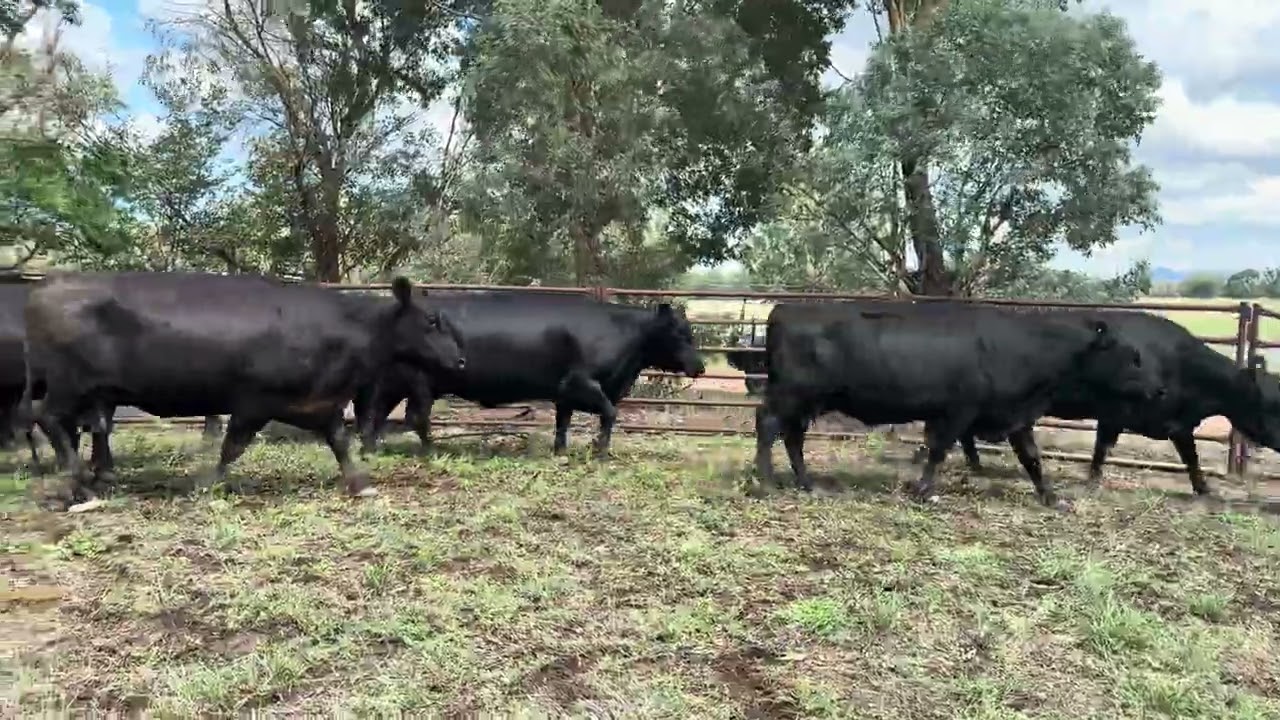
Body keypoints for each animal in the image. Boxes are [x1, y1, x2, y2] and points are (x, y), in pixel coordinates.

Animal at [19, 271, 464, 511]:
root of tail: (48, 285)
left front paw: (359, 482)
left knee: (88, 426)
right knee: (48, 417)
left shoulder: (319, 403)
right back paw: (78, 478)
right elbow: (232, 446)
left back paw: (93, 478)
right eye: (431, 320)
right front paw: (207, 484)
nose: (460, 361)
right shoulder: (255, 400)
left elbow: (340, 441)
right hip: (68, 384)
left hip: (92, 391)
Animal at [351, 291, 707, 458]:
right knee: (414, 417)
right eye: (679, 333)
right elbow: (610, 413)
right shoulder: (583, 383)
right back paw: (429, 449)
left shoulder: (565, 391)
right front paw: (600, 451)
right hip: (418, 382)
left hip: (396, 382)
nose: (700, 366)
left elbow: (563, 422)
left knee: (378, 414)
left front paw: (560, 451)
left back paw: (372, 448)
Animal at [753, 301, 1163, 510]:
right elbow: (937, 450)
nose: (1159, 390)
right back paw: (766, 481)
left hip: (806, 401)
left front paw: (1052, 499)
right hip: (793, 392)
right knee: (768, 424)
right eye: (1133, 357)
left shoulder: (1016, 417)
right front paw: (923, 490)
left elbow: (1032, 458)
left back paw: (807, 483)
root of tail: (785, 309)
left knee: (792, 436)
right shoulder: (956, 410)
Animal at [911, 310, 1280, 497]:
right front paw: (1092, 480)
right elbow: (1104, 447)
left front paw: (1203, 488)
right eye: (1272, 404)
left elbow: (1188, 455)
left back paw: (975, 464)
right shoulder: (1118, 413)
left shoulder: (1174, 423)